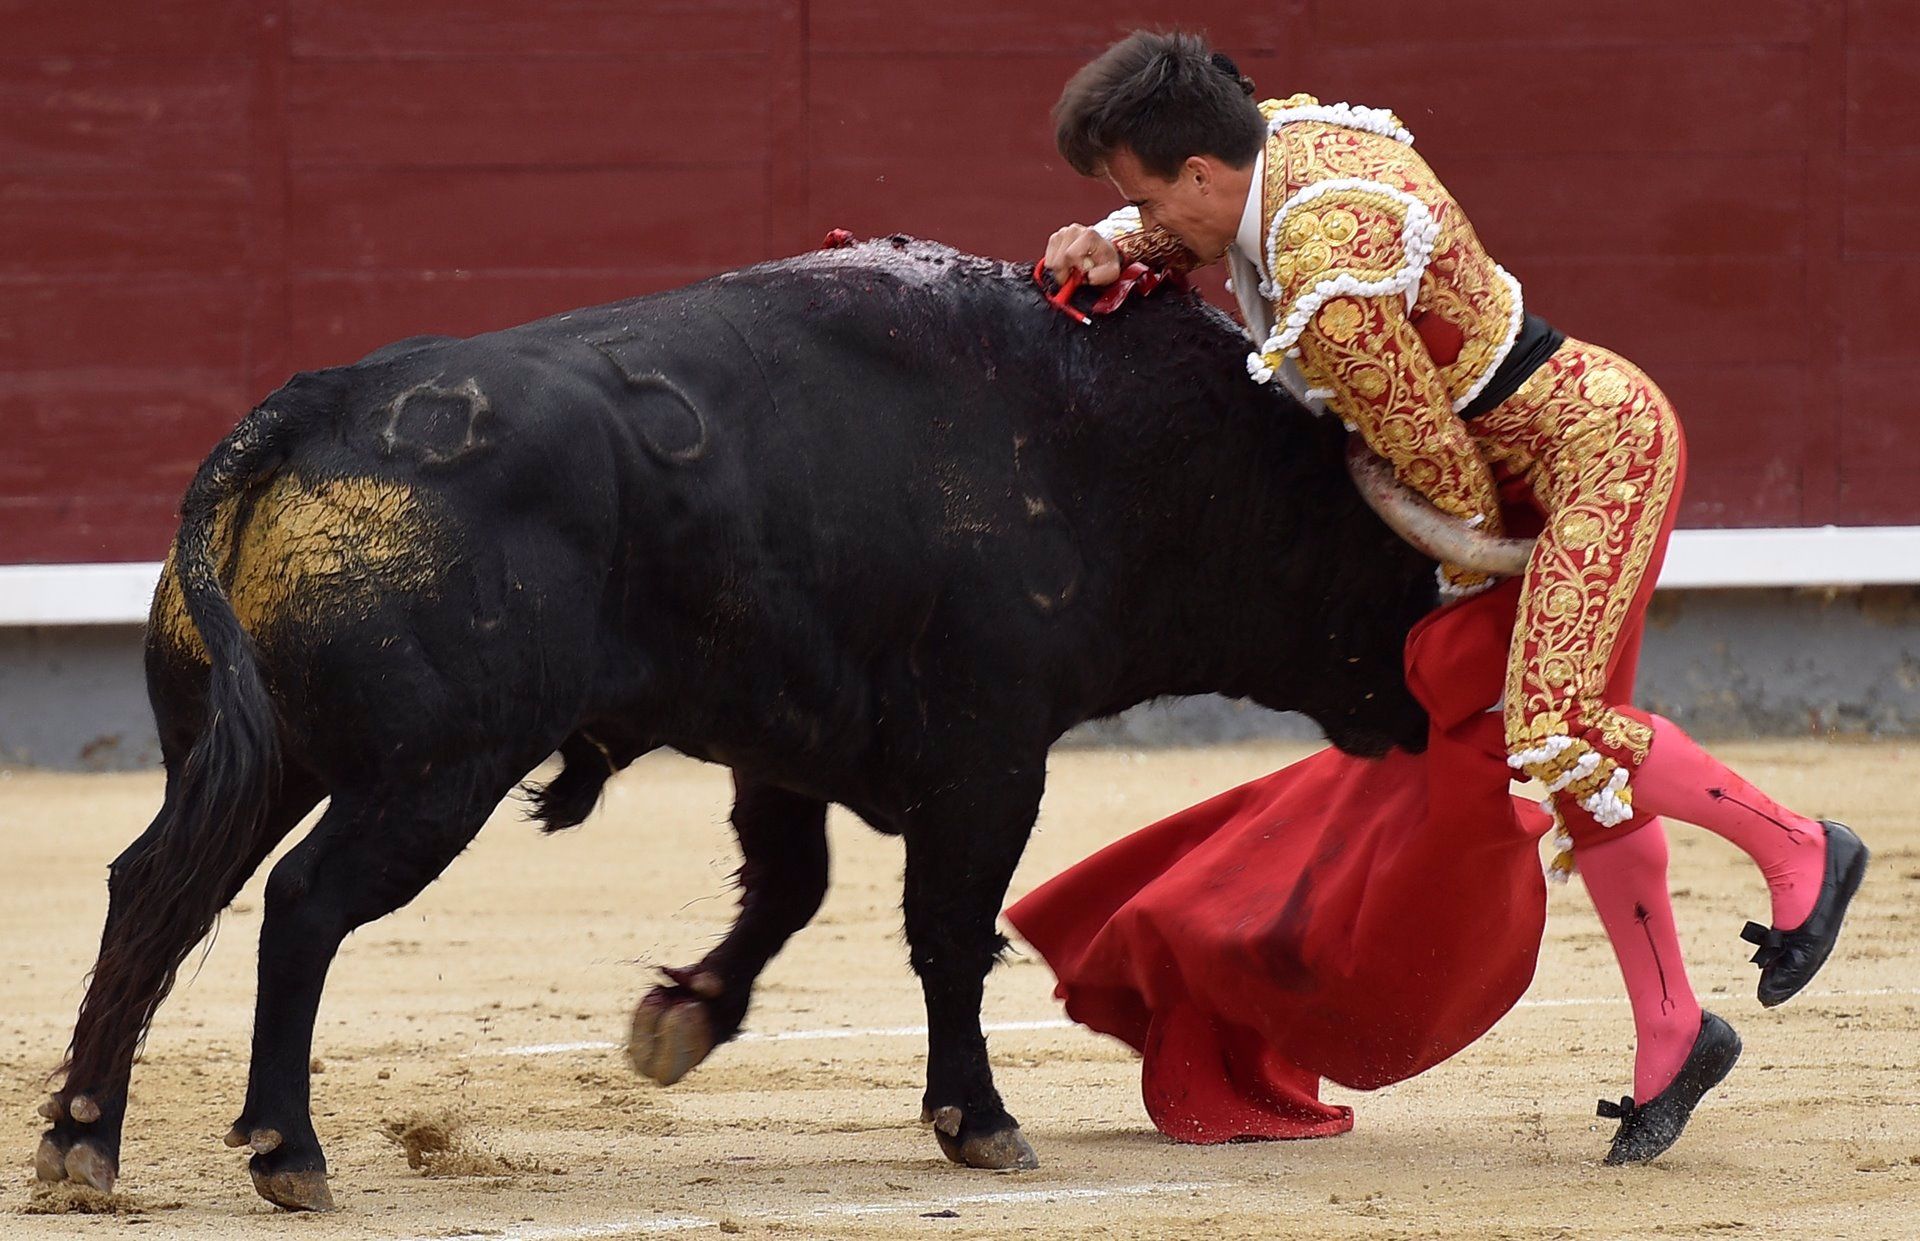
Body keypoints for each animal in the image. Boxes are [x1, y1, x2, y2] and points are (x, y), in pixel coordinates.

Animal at [37, 236, 1466, 1214]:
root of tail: (306, 410)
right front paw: (979, 1120)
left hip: (257, 759)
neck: (1103, 439)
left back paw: (81, 1138)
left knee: (152, 890)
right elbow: (950, 932)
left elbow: (791, 887)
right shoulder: (992, 751)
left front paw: (682, 1017)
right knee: (301, 904)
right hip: (429, 775)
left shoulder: (783, 742)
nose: (1425, 712)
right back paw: (288, 1148)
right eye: (1396, 563)